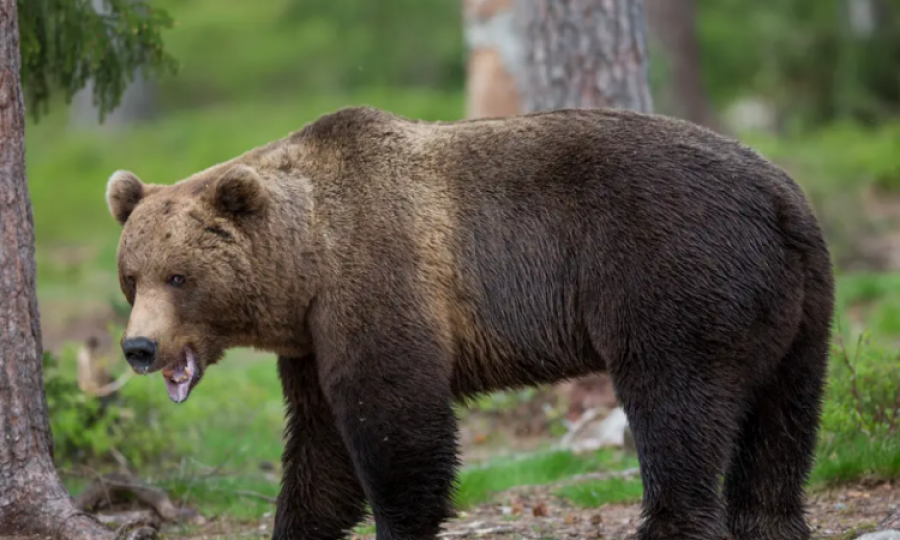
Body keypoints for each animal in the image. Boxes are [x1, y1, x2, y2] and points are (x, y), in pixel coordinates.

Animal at [105, 105, 836, 540]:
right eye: (131, 276)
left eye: (179, 276)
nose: (139, 347)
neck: (307, 263)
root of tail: (782, 196)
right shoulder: (313, 340)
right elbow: (319, 447)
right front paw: (300, 522)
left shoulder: (381, 280)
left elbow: (396, 425)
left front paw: (401, 522)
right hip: (799, 308)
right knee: (782, 423)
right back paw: (770, 521)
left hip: (672, 274)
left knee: (677, 407)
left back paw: (672, 521)